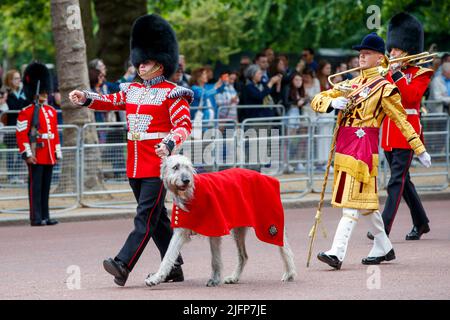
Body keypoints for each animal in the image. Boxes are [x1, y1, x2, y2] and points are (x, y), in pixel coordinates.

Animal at [145, 155, 296, 288]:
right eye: (175, 167)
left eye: (187, 167)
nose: (186, 180)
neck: (192, 194)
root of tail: (265, 177)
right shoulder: (181, 231)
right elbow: (168, 256)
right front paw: (156, 278)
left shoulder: (215, 228)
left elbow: (215, 259)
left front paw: (215, 279)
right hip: (239, 229)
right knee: (243, 256)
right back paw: (234, 277)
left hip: (269, 223)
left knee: (284, 246)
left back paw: (290, 272)